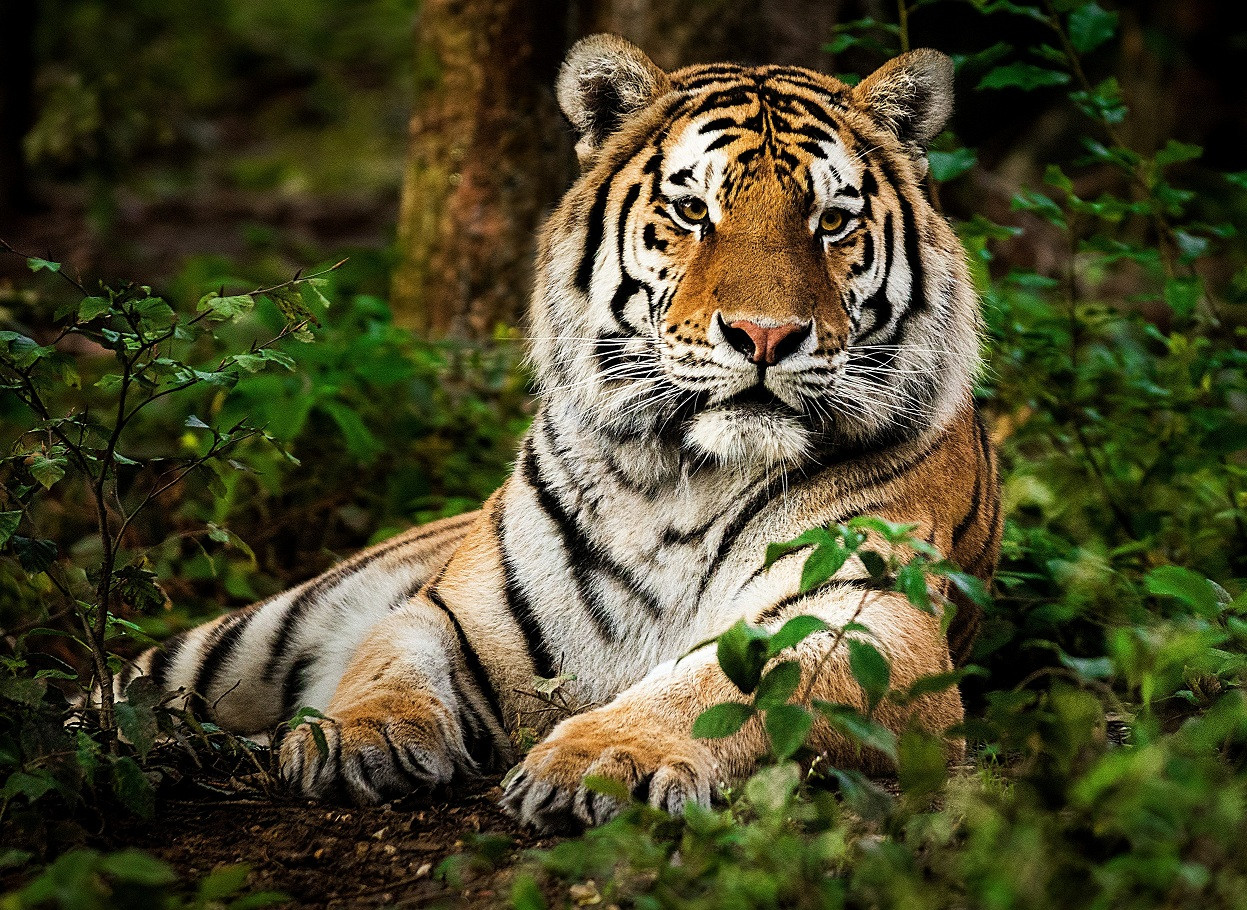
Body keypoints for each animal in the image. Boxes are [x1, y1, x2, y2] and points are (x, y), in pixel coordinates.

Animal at [116, 35, 1001, 832]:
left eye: (832, 221)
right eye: (692, 211)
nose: (764, 335)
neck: (683, 478)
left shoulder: (868, 618)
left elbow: (722, 687)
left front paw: (604, 761)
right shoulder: (455, 611)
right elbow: (387, 658)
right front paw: (352, 735)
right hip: (250, 638)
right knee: (127, 684)